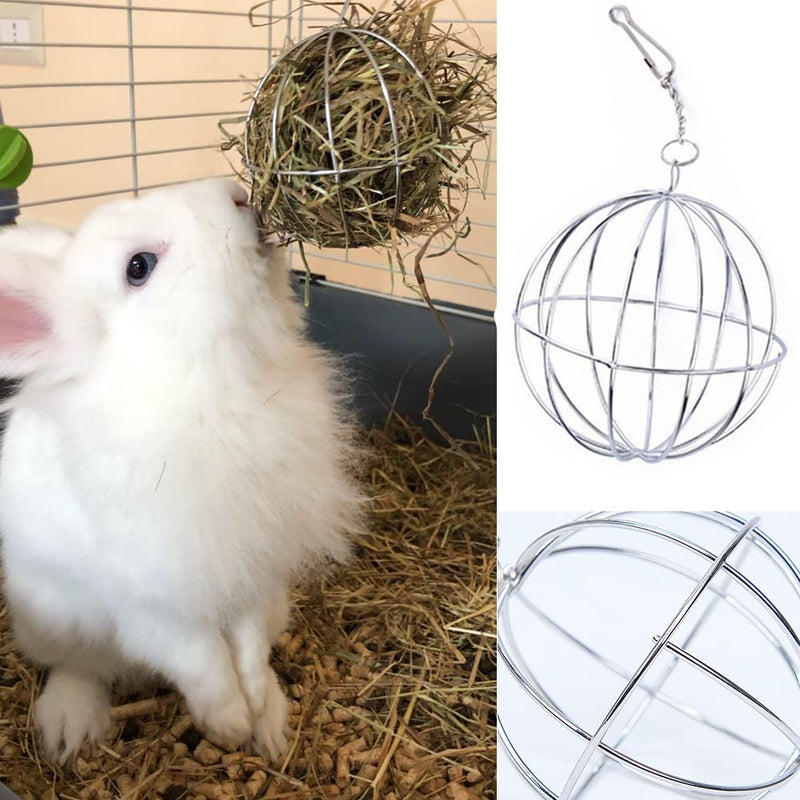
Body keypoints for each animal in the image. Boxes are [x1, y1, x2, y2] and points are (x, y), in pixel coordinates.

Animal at [0, 178, 363, 764]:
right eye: (138, 267)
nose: (237, 194)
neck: (208, 386)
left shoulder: (251, 574)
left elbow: (248, 647)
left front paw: (255, 708)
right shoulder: (152, 606)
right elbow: (201, 663)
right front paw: (228, 723)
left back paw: (272, 727)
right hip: (55, 618)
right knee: (77, 667)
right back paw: (69, 728)